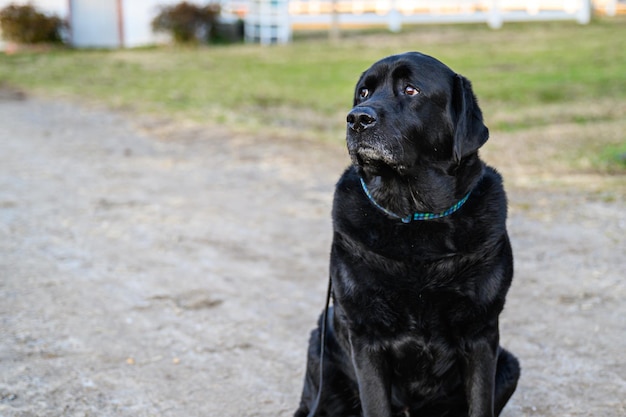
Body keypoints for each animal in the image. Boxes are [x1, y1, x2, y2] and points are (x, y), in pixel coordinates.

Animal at [294, 52, 520, 416]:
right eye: (363, 92)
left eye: (411, 89)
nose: (357, 119)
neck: (415, 218)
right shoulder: (366, 335)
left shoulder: (481, 332)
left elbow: (479, 404)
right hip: (321, 357)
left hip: (509, 365)